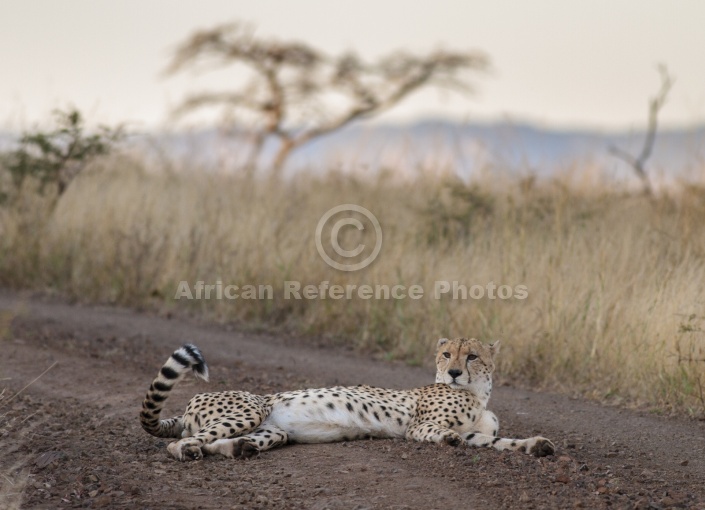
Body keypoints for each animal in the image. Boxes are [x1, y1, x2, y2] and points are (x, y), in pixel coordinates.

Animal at [140, 338, 552, 462]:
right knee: (181, 444)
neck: (476, 393)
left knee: (219, 443)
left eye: (472, 356)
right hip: (251, 406)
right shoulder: (418, 427)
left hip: (272, 431)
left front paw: (536, 445)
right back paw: (189, 452)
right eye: (447, 354)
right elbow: (441, 433)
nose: (452, 373)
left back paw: (239, 449)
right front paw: (448, 439)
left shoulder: (478, 432)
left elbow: (498, 440)